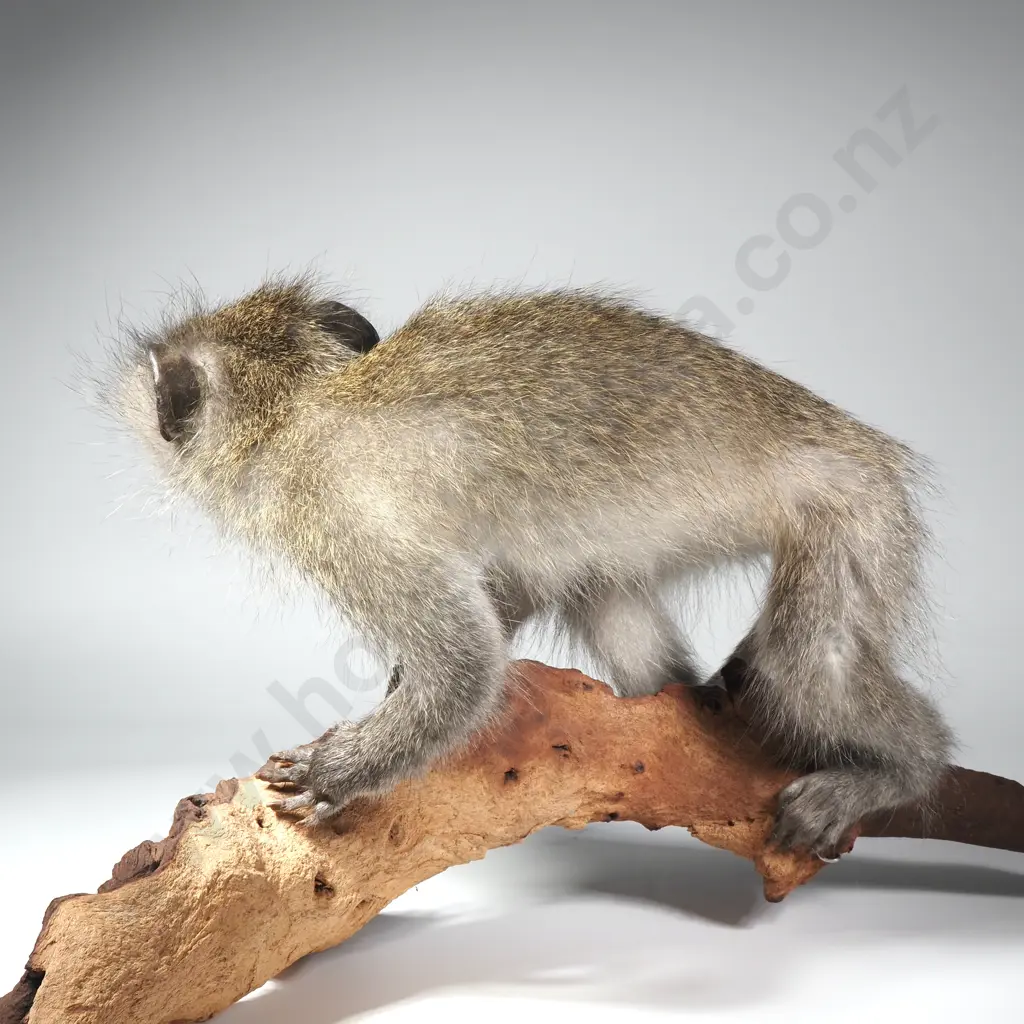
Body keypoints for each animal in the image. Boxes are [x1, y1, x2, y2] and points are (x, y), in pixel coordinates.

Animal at [101, 272, 954, 860]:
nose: (139, 386)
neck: (294, 407)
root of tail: (854, 440)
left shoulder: (339, 516)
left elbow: (464, 665)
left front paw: (339, 771)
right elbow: (502, 599)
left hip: (854, 510)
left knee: (805, 667)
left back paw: (902, 772)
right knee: (614, 608)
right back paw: (684, 702)